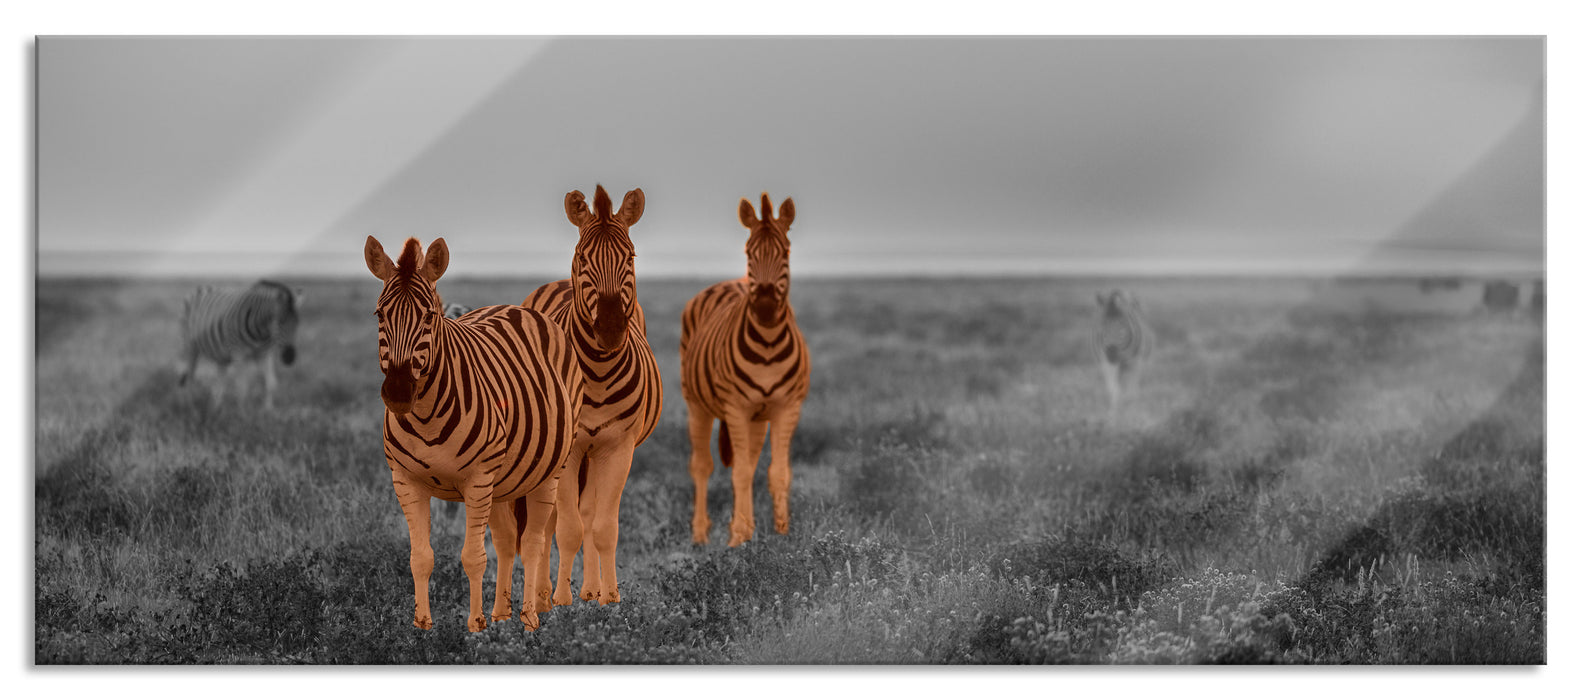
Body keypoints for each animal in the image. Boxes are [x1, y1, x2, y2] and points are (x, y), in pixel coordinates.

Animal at [177, 279, 304, 410]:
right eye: (280, 321)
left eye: (297, 323)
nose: (289, 357)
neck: (261, 332)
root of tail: (202, 287)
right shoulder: (239, 354)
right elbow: (242, 388)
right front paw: (243, 413)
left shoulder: (265, 354)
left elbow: (270, 384)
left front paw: (268, 410)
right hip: (190, 346)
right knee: (189, 377)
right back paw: (190, 407)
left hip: (220, 354)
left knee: (219, 380)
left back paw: (216, 408)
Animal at [365, 235, 583, 632]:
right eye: (380, 315)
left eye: (430, 316)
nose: (399, 392)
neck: (426, 417)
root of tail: (517, 308)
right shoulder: (405, 480)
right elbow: (420, 556)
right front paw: (422, 626)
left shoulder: (477, 480)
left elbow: (473, 556)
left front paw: (475, 626)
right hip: (503, 482)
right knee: (508, 540)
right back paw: (502, 614)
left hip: (548, 472)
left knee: (532, 542)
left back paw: (529, 617)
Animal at [521, 184, 663, 606]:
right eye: (583, 257)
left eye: (630, 256)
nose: (612, 329)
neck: (598, 373)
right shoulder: (570, 449)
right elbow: (567, 526)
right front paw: (560, 600)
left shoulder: (618, 447)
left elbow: (602, 526)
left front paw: (608, 596)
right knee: (551, 520)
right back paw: (544, 593)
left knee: (589, 512)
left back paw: (589, 587)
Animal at [680, 193, 810, 547]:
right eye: (749, 253)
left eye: (786, 252)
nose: (764, 308)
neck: (767, 344)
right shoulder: (736, 408)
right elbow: (737, 472)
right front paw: (737, 539)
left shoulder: (786, 407)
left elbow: (777, 473)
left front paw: (782, 535)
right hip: (697, 405)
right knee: (702, 465)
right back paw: (700, 535)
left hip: (758, 418)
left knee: (749, 464)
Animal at [1094, 288, 1153, 424]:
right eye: (1103, 325)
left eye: (1122, 325)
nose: (1111, 353)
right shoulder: (1107, 364)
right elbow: (1114, 391)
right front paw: (1112, 416)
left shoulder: (1136, 363)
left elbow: (1131, 393)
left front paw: (1132, 415)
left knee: (1133, 387)